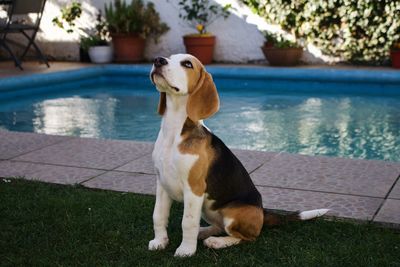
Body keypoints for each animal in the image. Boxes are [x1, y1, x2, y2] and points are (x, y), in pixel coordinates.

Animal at [148, 54, 330, 258]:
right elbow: (158, 215)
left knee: (246, 237)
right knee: (219, 226)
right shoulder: (162, 183)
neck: (174, 131)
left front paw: (186, 250)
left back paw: (217, 241)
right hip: (208, 209)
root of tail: (263, 212)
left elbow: (187, 222)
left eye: (187, 64)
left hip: (232, 215)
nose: (158, 60)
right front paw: (160, 241)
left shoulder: (194, 189)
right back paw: (204, 232)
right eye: (169, 58)